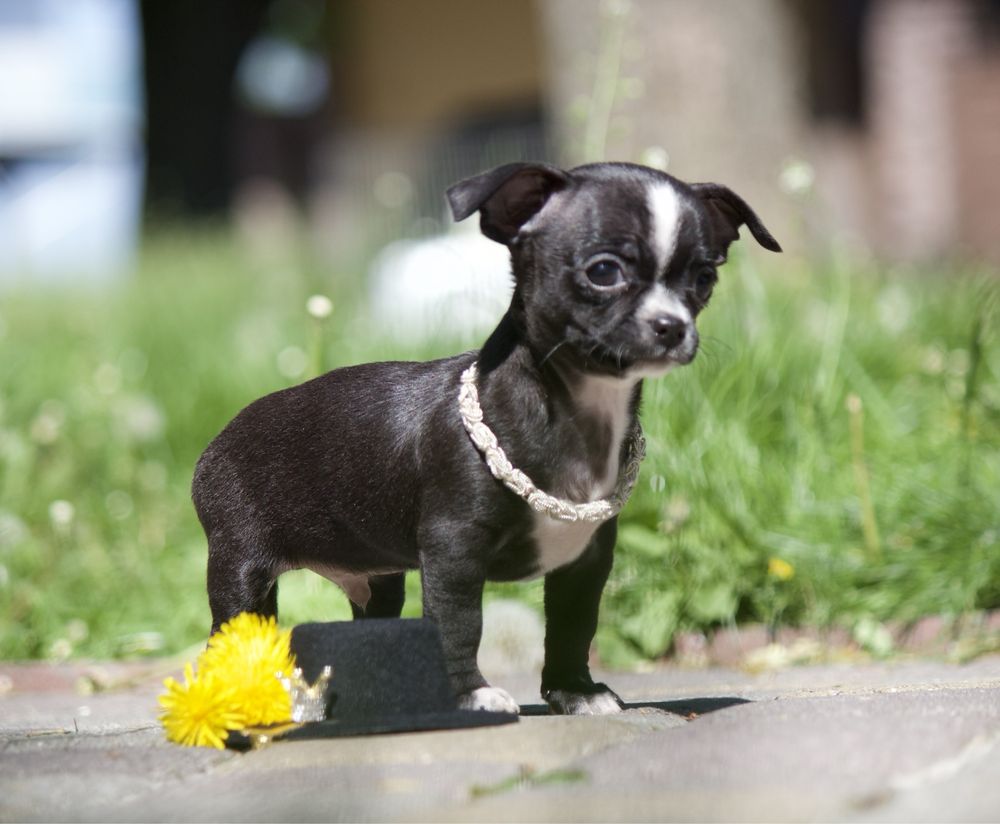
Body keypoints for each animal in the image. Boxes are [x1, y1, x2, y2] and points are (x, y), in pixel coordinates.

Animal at [191, 161, 776, 716]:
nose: (671, 325)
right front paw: (469, 696)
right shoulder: (453, 551)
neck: (580, 411)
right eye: (604, 271)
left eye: (703, 278)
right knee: (230, 634)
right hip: (242, 569)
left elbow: (573, 628)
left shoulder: (585, 561)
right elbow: (459, 624)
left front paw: (575, 692)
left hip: (378, 580)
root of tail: (219, 438)